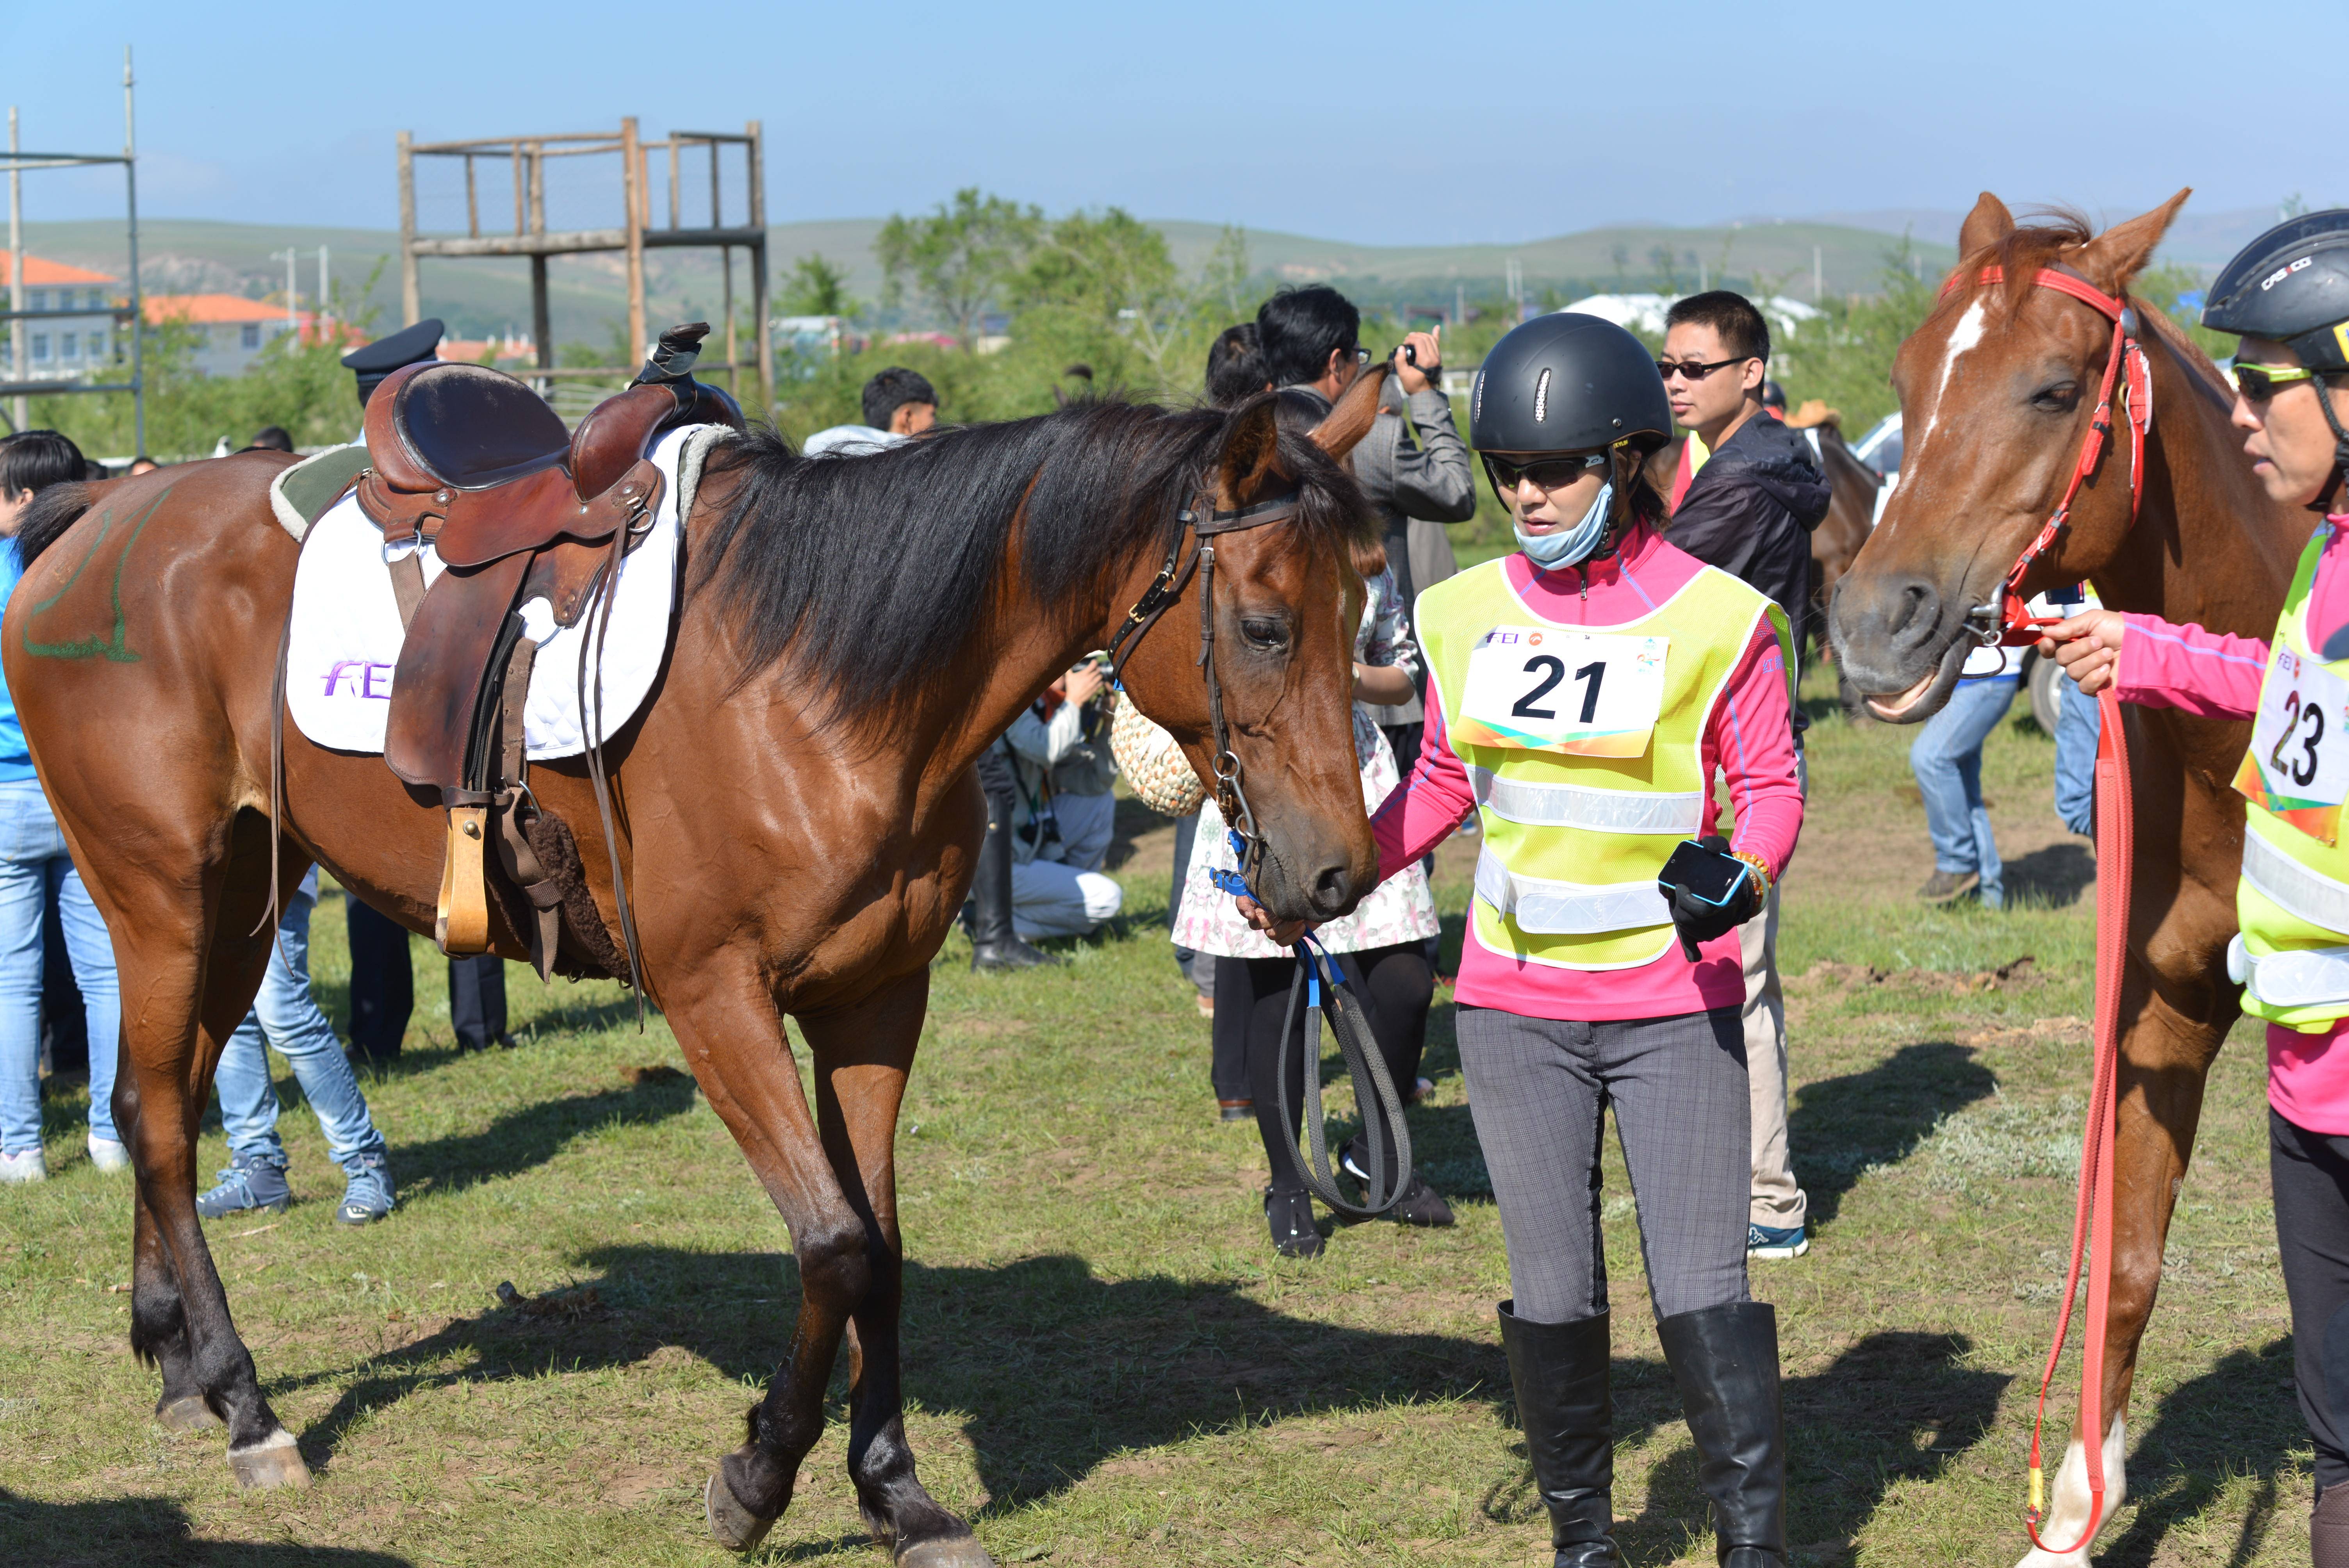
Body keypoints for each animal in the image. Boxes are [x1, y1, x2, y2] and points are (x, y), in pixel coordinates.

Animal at [4, 371, 1390, 1568]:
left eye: (1362, 605)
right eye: (1265, 625)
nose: (1339, 875)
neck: (819, 676)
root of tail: (94, 524)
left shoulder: (875, 1000)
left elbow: (884, 1245)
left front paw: (896, 1492)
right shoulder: (713, 994)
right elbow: (833, 1243)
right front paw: (760, 1477)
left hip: (245, 895)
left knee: (156, 1101)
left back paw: (181, 1370)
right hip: (161, 893)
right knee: (161, 1120)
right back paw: (246, 1407)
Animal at [1823, 190, 2302, 1558]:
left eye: (2049, 388)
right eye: (1904, 378)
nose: (1872, 625)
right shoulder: (2162, 1012)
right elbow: (2126, 1260)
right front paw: (2079, 1504)